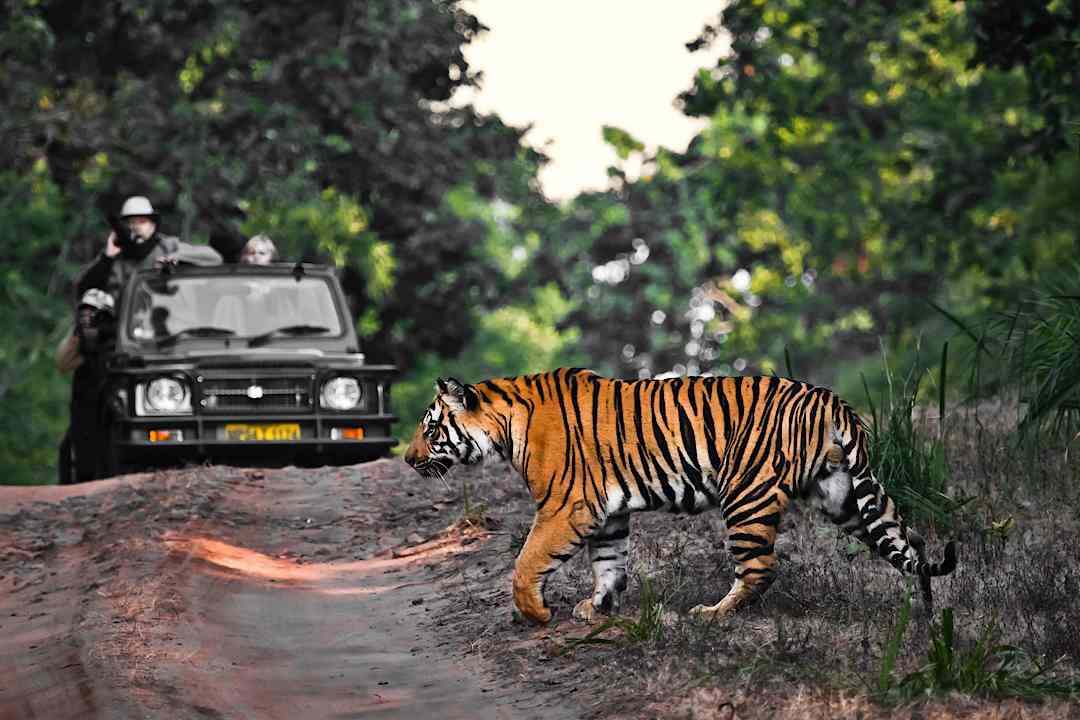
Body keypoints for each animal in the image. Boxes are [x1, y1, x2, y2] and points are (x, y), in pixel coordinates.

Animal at [403, 368, 956, 625]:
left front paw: (536, 614)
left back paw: (713, 614)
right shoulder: (606, 513)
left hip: (747, 495)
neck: (506, 425)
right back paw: (928, 610)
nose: (408, 459)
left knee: (760, 568)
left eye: (431, 428)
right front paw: (598, 607)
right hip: (844, 494)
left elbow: (525, 563)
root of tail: (831, 399)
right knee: (907, 540)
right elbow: (609, 563)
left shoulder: (567, 507)